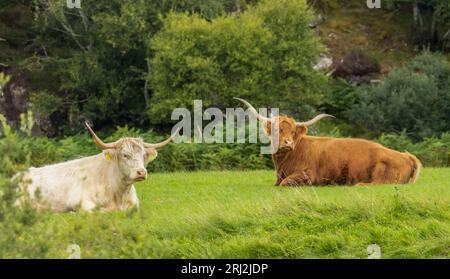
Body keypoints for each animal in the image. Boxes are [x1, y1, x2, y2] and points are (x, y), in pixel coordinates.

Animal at [18, 123, 178, 213]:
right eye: (125, 155)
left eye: (143, 155)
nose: (141, 172)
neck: (119, 193)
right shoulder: (83, 203)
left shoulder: (134, 205)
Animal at [236, 97, 422, 187]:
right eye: (277, 130)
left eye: (293, 131)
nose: (288, 143)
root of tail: (405, 156)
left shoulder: (306, 175)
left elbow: (285, 183)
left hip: (382, 174)